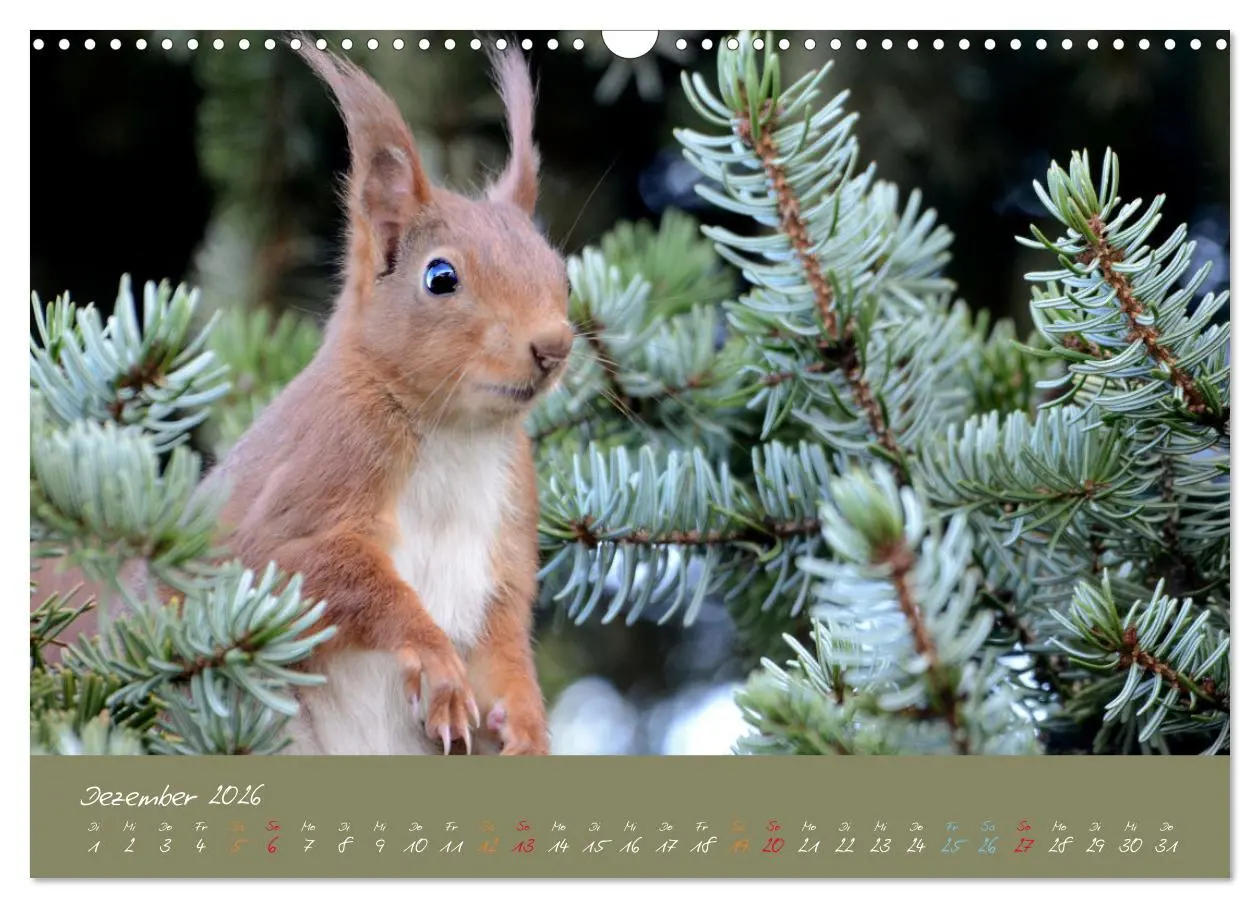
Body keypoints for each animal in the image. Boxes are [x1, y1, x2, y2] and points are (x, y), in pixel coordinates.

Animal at [198, 39, 573, 756]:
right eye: (441, 277)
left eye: (562, 274)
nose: (554, 346)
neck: (455, 434)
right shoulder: (307, 486)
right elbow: (322, 570)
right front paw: (434, 659)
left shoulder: (506, 546)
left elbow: (505, 650)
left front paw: (527, 726)